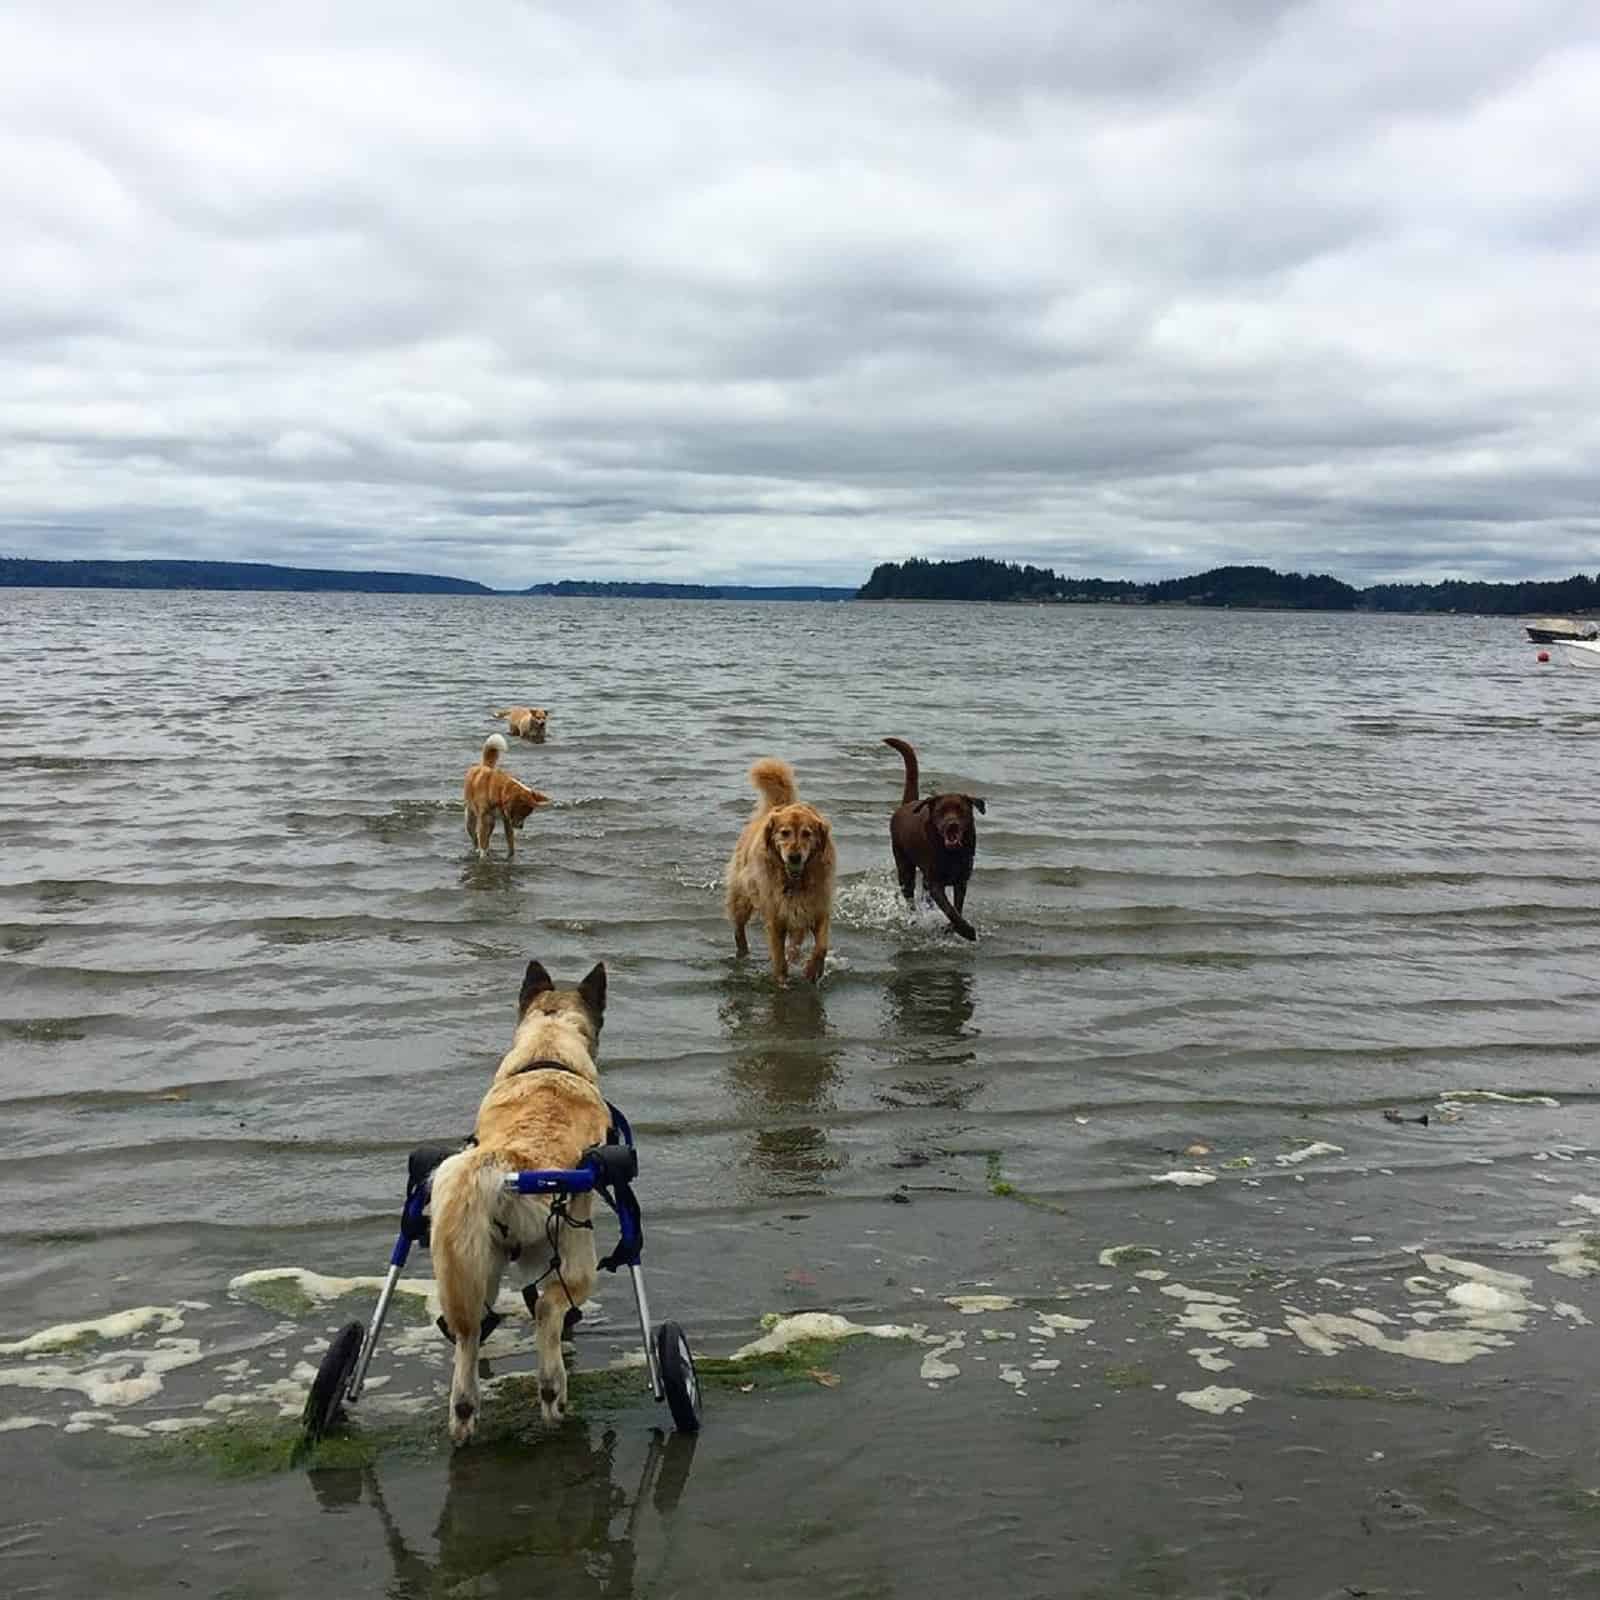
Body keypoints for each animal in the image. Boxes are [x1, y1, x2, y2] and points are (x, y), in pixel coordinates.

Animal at [428, 953, 608, 1446]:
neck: (548, 1054)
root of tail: (503, 1163)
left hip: (470, 1263)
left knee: (467, 1334)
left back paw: (466, 1410)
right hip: (577, 1256)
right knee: (548, 1310)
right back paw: (552, 1391)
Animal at [723, 755, 832, 979]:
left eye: (807, 833)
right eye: (784, 833)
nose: (794, 857)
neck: (795, 881)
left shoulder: (818, 906)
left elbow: (822, 946)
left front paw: (813, 969)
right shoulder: (775, 918)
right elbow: (780, 962)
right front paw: (782, 981)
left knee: (796, 940)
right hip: (742, 897)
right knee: (738, 929)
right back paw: (743, 953)